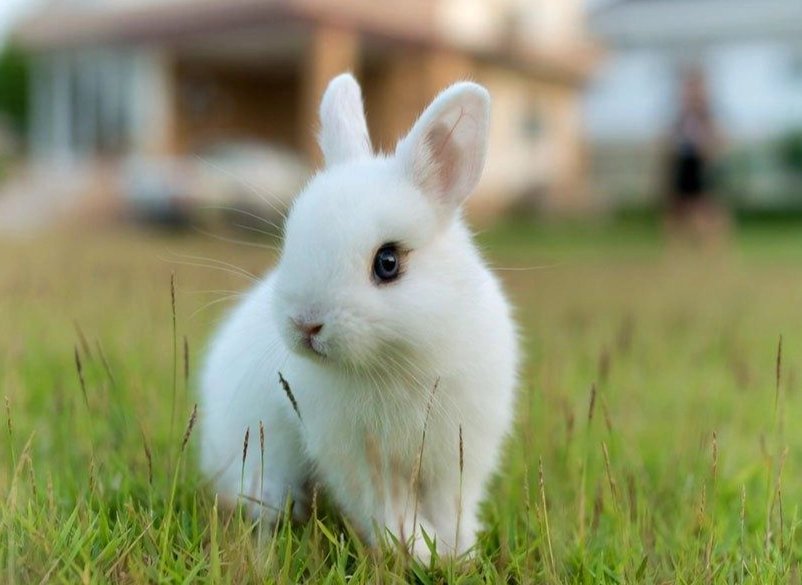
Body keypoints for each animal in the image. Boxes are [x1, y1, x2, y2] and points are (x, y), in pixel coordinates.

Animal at [199, 73, 519, 561]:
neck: (397, 361)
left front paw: (457, 553)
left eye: (387, 262)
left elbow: (453, 505)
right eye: (291, 241)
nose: (305, 323)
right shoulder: (358, 461)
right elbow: (388, 508)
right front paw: (418, 551)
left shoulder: (460, 453)